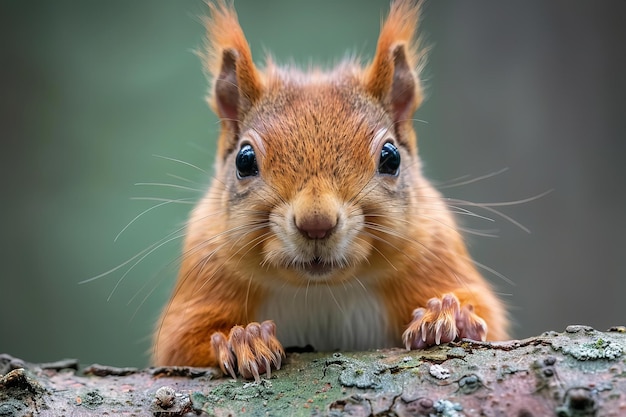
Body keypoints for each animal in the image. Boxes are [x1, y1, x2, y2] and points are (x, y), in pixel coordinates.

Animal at [152, 0, 508, 378]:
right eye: (244, 161)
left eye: (391, 157)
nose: (316, 224)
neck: (321, 289)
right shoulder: (206, 270)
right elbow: (181, 341)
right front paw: (243, 340)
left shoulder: (434, 252)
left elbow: (486, 315)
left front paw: (448, 315)